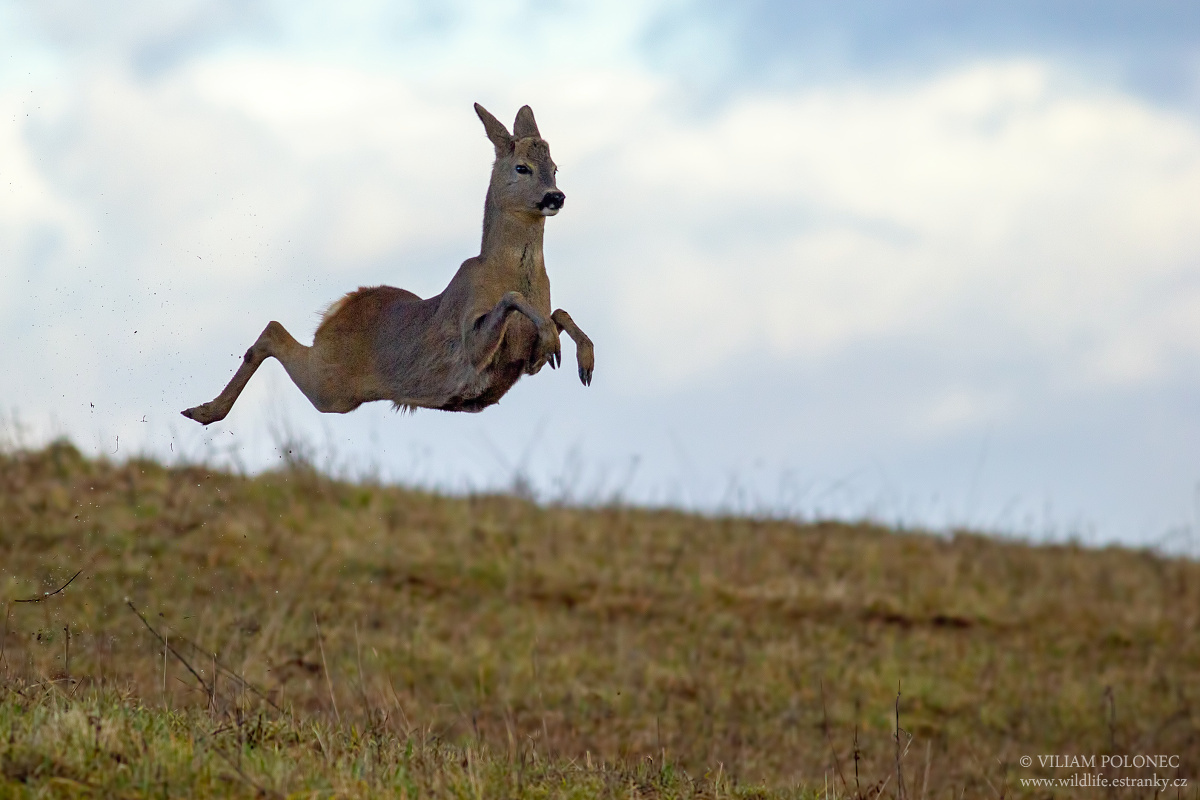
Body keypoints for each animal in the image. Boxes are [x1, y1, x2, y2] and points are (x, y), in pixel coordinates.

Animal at [182, 104, 595, 424]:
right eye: (522, 167)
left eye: (555, 167)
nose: (555, 196)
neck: (513, 272)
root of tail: (341, 307)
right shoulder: (470, 341)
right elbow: (513, 300)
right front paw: (556, 343)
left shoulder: (523, 362)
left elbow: (558, 312)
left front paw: (583, 361)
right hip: (330, 385)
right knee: (273, 332)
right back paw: (202, 411)